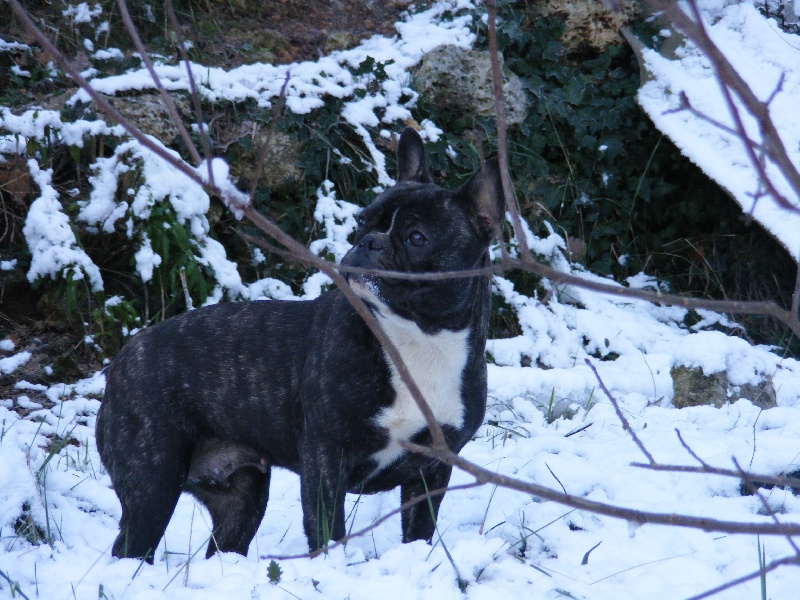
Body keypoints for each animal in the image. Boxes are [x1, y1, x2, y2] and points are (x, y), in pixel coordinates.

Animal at [97, 129, 504, 560]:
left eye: (417, 238)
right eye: (362, 222)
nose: (369, 242)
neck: (419, 338)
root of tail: (121, 360)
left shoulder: (433, 469)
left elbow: (420, 528)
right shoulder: (326, 460)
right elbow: (328, 531)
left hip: (241, 498)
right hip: (153, 483)